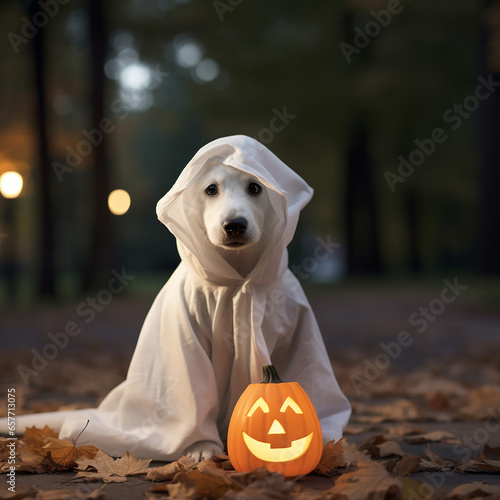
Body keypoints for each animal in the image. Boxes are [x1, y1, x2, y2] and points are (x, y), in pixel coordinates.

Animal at [0, 136, 352, 460]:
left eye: (255, 188)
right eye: (211, 190)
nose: (234, 225)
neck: (236, 281)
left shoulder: (298, 333)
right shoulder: (185, 337)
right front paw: (201, 447)